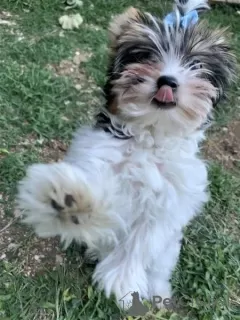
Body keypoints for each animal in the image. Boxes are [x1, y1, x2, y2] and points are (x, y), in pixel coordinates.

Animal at [16, 0, 236, 308]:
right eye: (145, 56)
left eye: (196, 65)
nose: (168, 80)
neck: (149, 137)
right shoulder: (98, 157)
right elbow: (96, 191)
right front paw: (70, 202)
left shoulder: (168, 203)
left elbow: (141, 241)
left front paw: (123, 278)